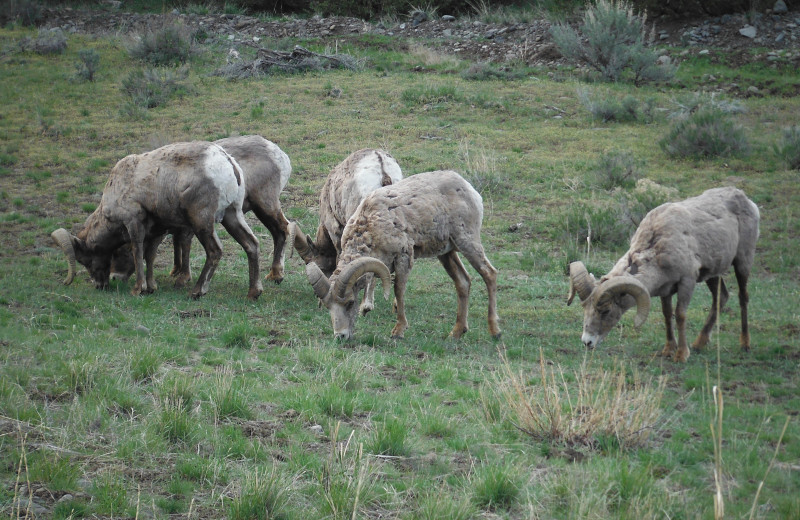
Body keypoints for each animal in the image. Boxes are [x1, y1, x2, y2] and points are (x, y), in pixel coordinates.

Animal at [52, 140, 262, 298]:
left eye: (85, 261)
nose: (101, 284)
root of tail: (227, 162)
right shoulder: (156, 230)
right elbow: (150, 255)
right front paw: (151, 287)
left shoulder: (134, 223)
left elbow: (138, 252)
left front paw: (138, 289)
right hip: (232, 215)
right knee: (251, 244)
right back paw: (253, 292)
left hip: (202, 223)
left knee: (215, 251)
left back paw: (196, 292)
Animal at [108, 134, 292, 286]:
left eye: (123, 251)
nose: (114, 277)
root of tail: (280, 155)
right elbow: (177, 242)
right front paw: (176, 272)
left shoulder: (190, 224)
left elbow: (184, 243)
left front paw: (183, 277)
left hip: (265, 204)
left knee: (282, 229)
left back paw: (276, 276)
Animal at [306, 171, 500, 342]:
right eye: (328, 307)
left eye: (350, 303)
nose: (341, 336)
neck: (370, 229)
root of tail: (468, 188)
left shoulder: (403, 256)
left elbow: (398, 290)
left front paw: (398, 331)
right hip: (446, 253)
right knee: (463, 282)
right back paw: (456, 333)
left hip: (467, 241)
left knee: (489, 274)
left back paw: (495, 331)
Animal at [564, 187, 760, 362]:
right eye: (585, 308)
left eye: (606, 311)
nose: (587, 342)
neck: (657, 248)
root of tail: (748, 201)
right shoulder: (666, 289)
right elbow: (667, 315)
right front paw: (668, 350)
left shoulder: (687, 281)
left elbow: (680, 315)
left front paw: (681, 355)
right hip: (712, 274)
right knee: (721, 297)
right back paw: (699, 344)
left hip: (743, 262)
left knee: (743, 297)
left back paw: (745, 344)